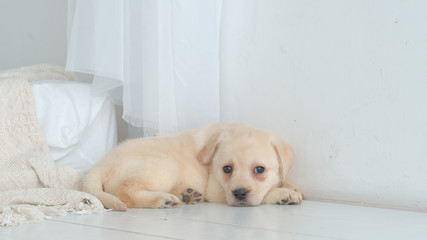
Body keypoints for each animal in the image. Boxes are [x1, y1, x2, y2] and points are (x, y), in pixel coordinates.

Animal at [83, 123, 304, 211]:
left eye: (259, 170)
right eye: (227, 169)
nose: (240, 193)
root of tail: (101, 163)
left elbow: (282, 180)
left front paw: (293, 187)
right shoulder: (216, 190)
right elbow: (265, 192)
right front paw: (283, 193)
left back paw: (186, 195)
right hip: (165, 165)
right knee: (126, 191)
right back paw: (162, 199)